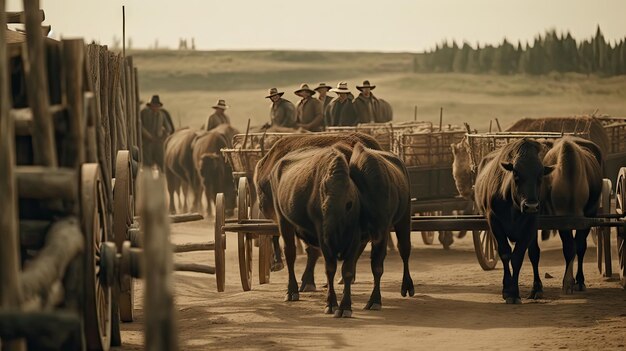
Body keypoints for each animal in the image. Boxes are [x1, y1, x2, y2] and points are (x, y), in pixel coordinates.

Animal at [270, 146, 360, 320]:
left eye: (347, 206)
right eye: (323, 208)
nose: (328, 235)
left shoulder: (354, 239)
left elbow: (347, 271)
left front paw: (346, 306)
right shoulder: (324, 241)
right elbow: (330, 269)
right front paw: (331, 304)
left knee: (311, 251)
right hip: (283, 220)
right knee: (290, 254)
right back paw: (292, 291)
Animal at [472, 139, 552, 304]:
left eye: (540, 175)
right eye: (516, 174)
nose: (531, 206)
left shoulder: (531, 225)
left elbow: (518, 257)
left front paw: (514, 292)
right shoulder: (494, 222)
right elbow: (505, 254)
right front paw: (508, 290)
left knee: (534, 253)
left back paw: (537, 288)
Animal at [540, 136, 604, 292]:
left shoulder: (587, 218)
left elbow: (580, 247)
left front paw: (579, 280)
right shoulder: (562, 220)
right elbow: (569, 247)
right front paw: (568, 282)